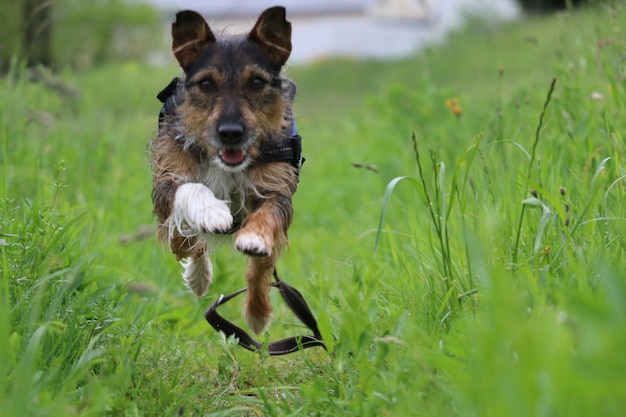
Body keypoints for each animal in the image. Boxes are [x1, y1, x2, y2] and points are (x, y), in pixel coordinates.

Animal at [149, 7, 300, 334]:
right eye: (207, 84)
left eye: (256, 82)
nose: (231, 133)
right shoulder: (167, 180)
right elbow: (190, 191)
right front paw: (212, 212)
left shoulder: (277, 191)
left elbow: (265, 240)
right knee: (186, 241)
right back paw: (198, 275)